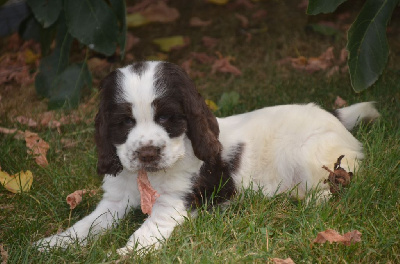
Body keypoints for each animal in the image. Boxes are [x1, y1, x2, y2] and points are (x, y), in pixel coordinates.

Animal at [33, 60, 378, 255]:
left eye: (167, 118)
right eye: (125, 122)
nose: (147, 153)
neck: (148, 176)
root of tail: (332, 115)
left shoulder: (174, 201)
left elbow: (148, 229)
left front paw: (127, 253)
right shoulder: (114, 200)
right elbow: (87, 226)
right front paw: (53, 244)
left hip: (312, 153)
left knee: (331, 186)